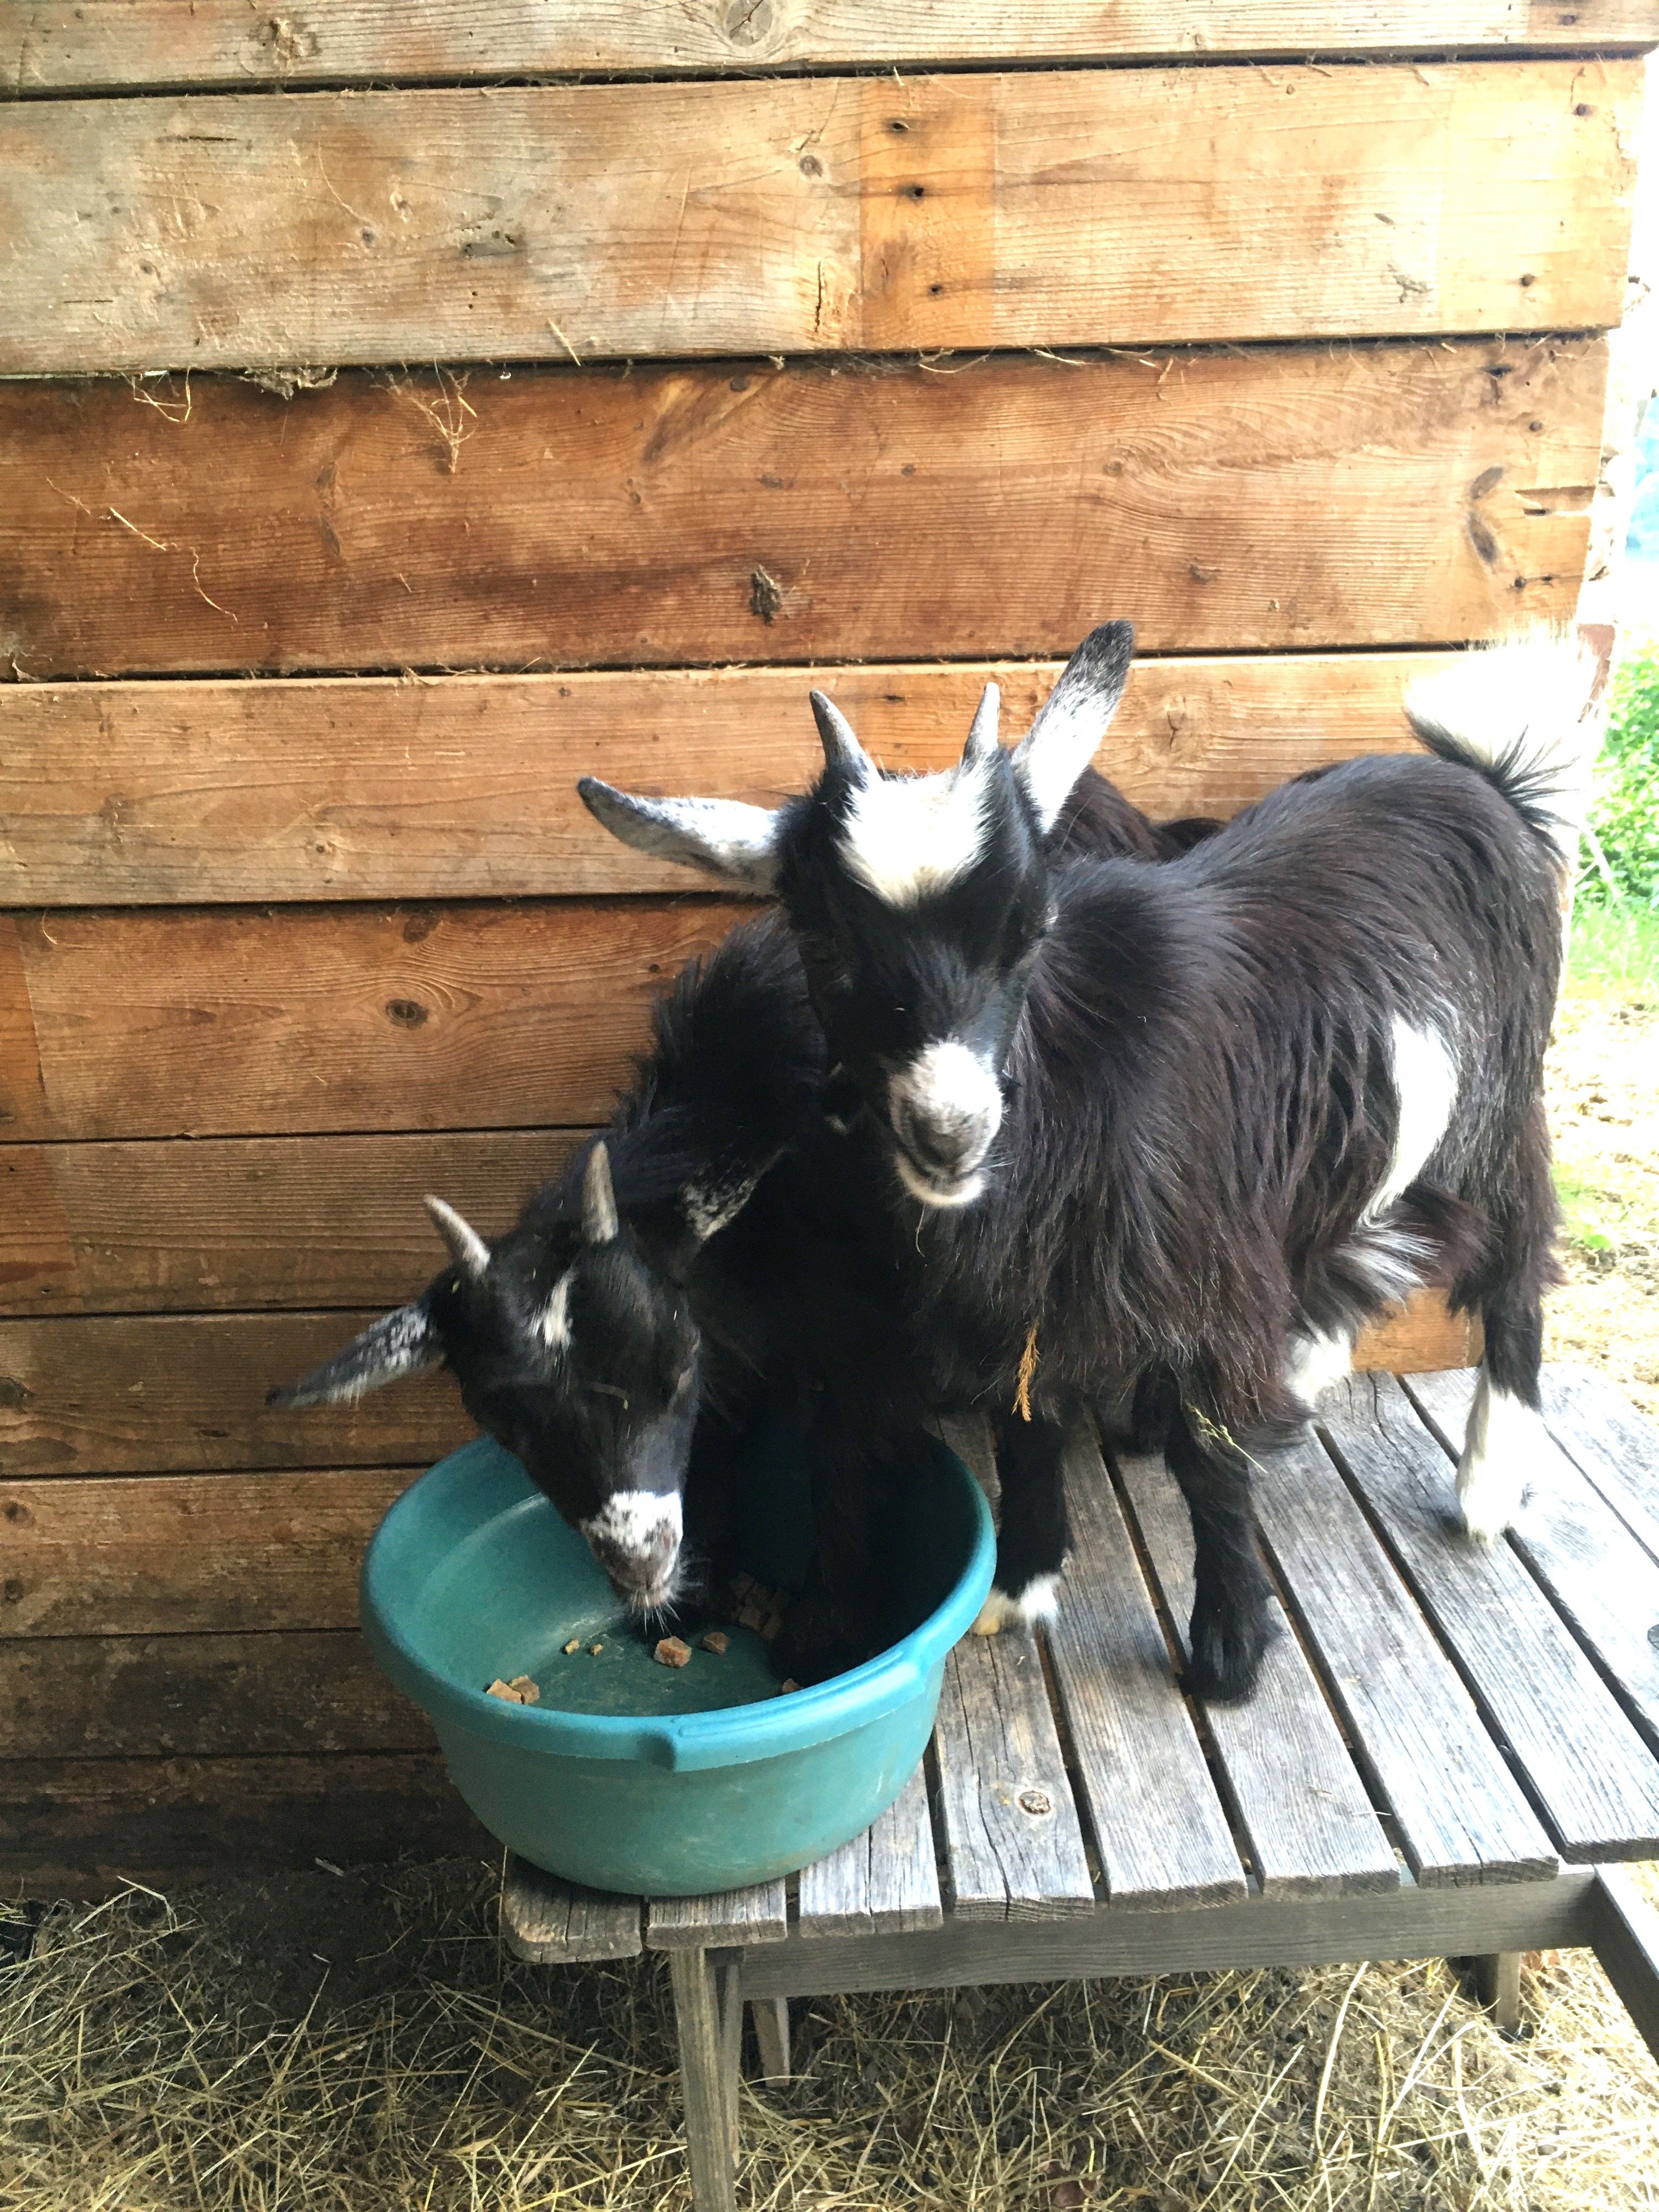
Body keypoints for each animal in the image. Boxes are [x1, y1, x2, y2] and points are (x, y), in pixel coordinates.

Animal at [580, 623, 1605, 1700]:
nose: (950, 1132)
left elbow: (1209, 1458)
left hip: (1499, 1106)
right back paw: (1316, 1364)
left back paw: (1487, 1481)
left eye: (1031, 929)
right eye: (822, 945)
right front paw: (1016, 1590)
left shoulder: (1202, 1285)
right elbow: (1025, 1435)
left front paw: (1229, 1649)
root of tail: (1487, 783)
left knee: (1515, 1265)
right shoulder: (1016, 1310)